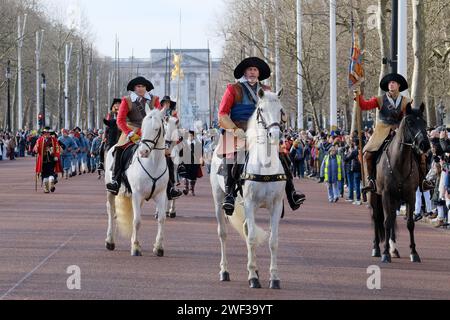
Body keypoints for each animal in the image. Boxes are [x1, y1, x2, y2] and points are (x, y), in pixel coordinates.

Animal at [104, 109, 168, 256]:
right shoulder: (137, 194)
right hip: (111, 191)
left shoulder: (161, 195)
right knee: (111, 210)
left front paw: (158, 247)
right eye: (143, 127)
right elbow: (137, 221)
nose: (143, 152)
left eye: (157, 128)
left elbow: (161, 218)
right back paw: (110, 241)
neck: (153, 163)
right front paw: (136, 247)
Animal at [210, 88, 286, 290]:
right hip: (219, 200)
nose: (275, 135)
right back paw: (225, 271)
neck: (265, 166)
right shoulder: (251, 203)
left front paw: (274, 278)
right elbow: (251, 238)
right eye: (261, 109)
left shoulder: (275, 205)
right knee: (223, 234)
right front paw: (253, 278)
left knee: (245, 229)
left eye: (281, 110)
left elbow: (274, 241)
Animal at [370, 104, 430, 264]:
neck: (399, 162)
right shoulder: (385, 194)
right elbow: (386, 222)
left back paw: (393, 249)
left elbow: (409, 223)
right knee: (377, 217)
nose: (425, 144)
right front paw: (385, 254)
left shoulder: (410, 195)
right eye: (410, 122)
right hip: (375, 194)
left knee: (392, 217)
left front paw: (414, 253)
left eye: (424, 122)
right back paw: (377, 249)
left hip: (396, 198)